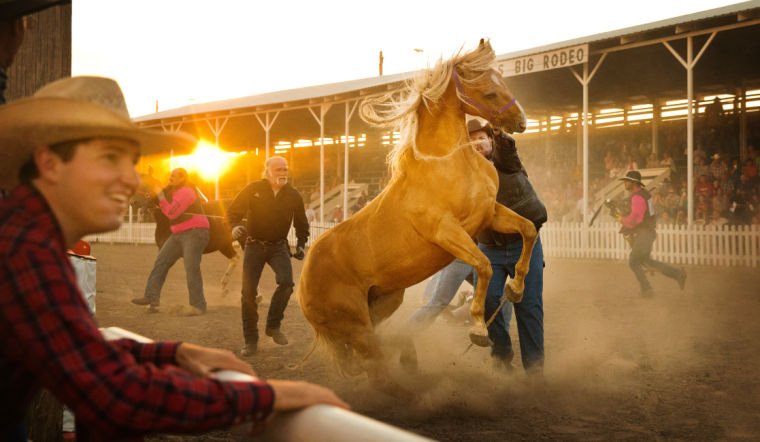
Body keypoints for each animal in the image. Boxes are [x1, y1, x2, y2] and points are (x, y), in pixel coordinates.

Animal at [296, 39, 536, 396]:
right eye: (490, 92)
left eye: (502, 80)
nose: (520, 121)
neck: (448, 164)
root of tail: (302, 283)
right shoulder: (447, 231)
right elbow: (483, 265)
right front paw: (479, 328)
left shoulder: (490, 215)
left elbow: (528, 229)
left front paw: (516, 288)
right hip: (356, 326)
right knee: (377, 366)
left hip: (383, 304)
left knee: (376, 357)